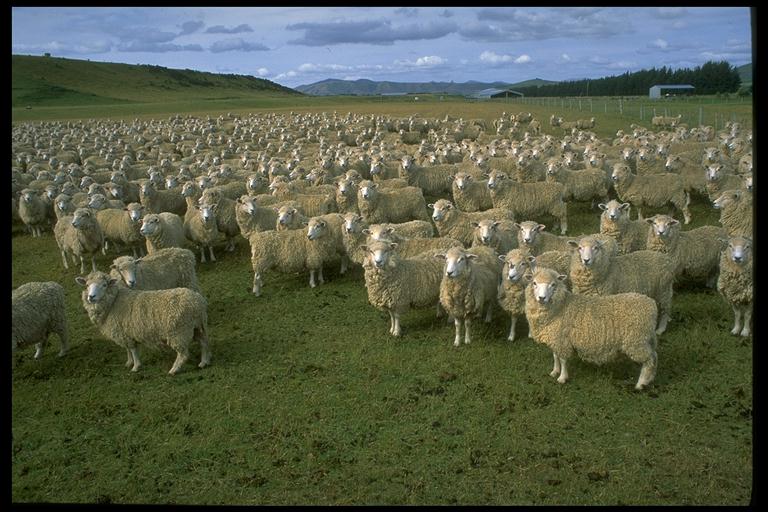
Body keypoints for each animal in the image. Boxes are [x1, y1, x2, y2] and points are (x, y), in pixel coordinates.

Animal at [75, 271, 210, 375]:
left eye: (104, 285)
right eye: (87, 285)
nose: (91, 297)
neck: (114, 302)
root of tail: (197, 302)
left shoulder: (126, 334)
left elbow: (133, 350)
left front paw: (135, 367)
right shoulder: (123, 333)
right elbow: (128, 350)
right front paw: (128, 362)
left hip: (179, 332)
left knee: (183, 354)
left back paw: (174, 370)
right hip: (198, 327)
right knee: (204, 343)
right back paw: (204, 362)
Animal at [524, 266, 658, 390]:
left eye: (553, 285)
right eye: (534, 283)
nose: (542, 298)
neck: (561, 306)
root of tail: (651, 304)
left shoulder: (562, 340)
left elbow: (563, 359)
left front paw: (562, 377)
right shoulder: (554, 337)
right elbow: (555, 356)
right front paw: (554, 372)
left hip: (636, 341)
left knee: (649, 360)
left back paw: (640, 384)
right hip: (644, 339)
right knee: (654, 356)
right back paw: (650, 379)